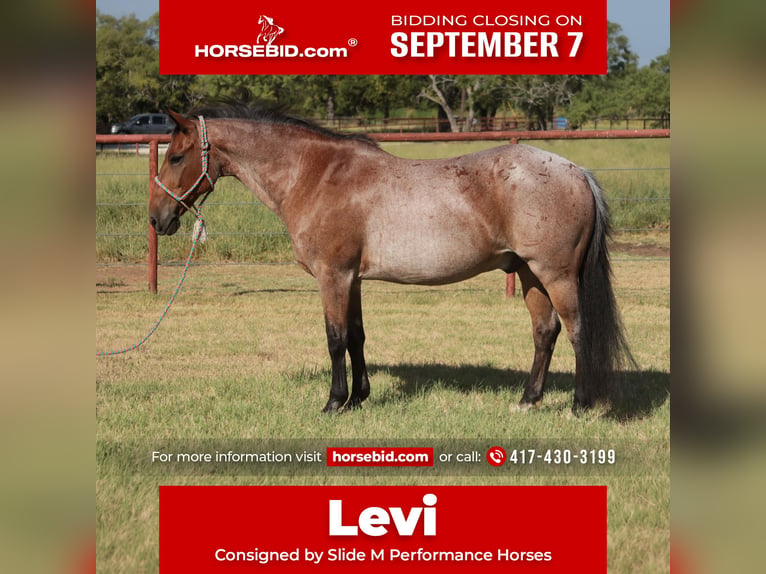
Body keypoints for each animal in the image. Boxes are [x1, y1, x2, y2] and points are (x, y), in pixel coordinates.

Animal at [150, 107, 633, 414]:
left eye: (176, 156)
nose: (157, 219)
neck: (315, 174)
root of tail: (576, 171)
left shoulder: (333, 276)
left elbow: (335, 338)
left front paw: (334, 402)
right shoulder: (353, 279)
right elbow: (357, 336)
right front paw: (359, 397)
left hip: (556, 274)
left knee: (577, 330)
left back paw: (579, 405)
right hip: (530, 274)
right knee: (544, 331)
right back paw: (527, 401)